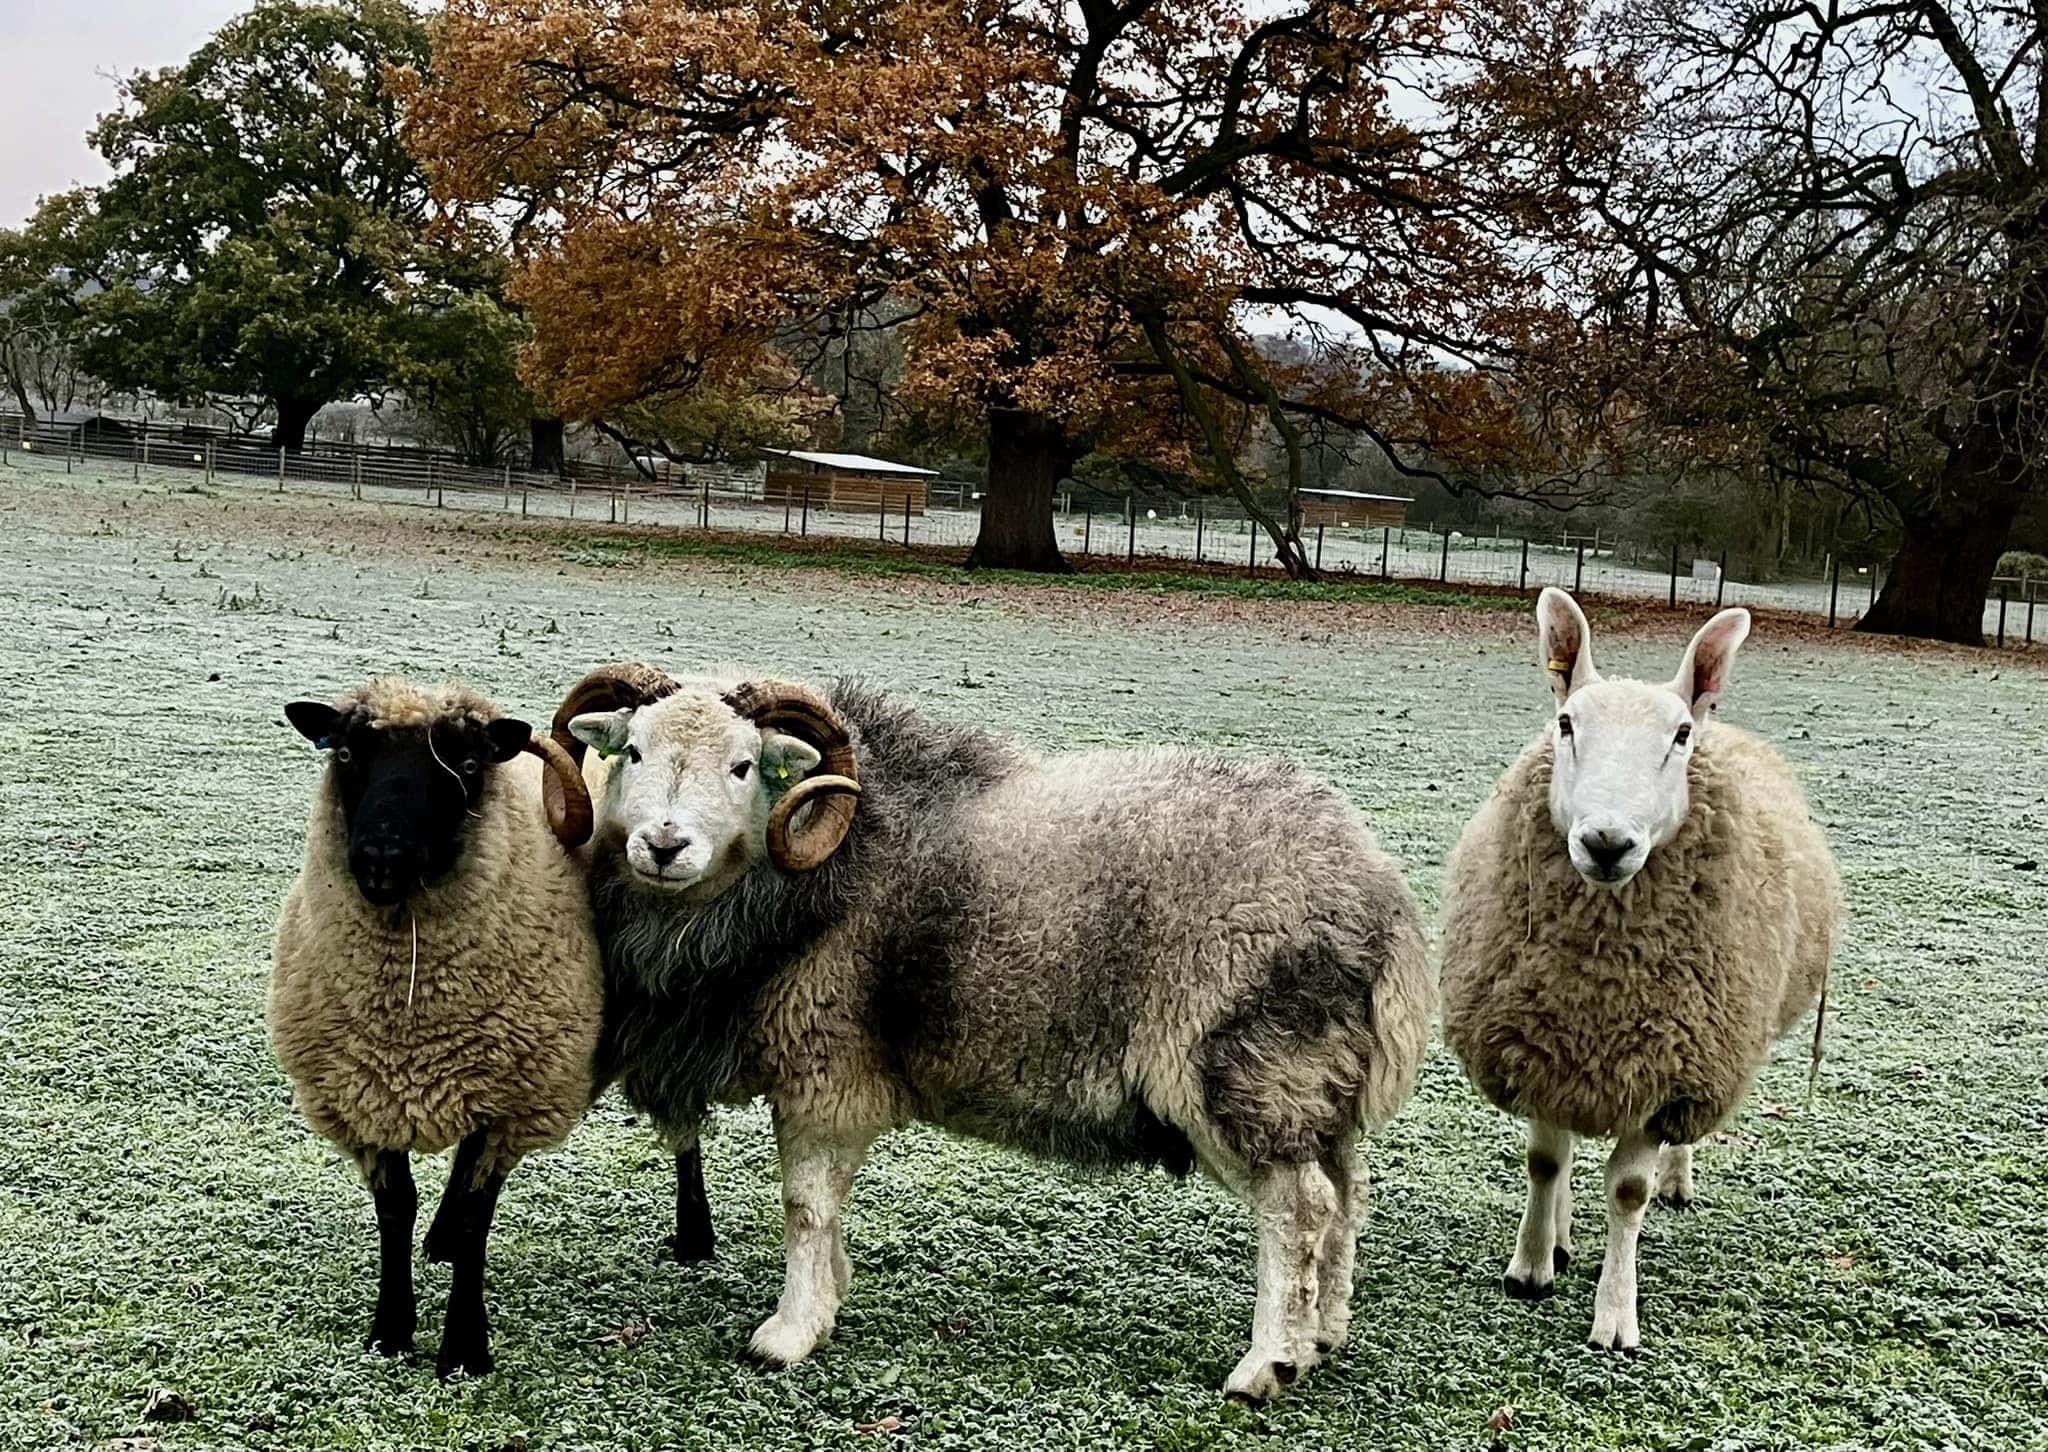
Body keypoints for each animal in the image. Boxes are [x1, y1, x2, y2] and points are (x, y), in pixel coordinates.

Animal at [268, 675, 598, 1368]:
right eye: (346, 754)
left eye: (468, 766)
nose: (382, 858)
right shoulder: (365, 1095)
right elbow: (396, 1210)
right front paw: (391, 1330)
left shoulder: (507, 1103)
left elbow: (477, 1215)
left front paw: (465, 1345)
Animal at [552, 663, 1433, 1400]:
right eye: (633, 751)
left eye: (742, 767)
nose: (664, 845)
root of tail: (1377, 888)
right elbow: (827, 1210)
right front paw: (832, 1298)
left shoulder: (826, 1069)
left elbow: (805, 1207)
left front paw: (789, 1332)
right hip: (1314, 1073)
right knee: (1346, 1197)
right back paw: (1324, 1338)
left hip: (1243, 1067)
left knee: (1299, 1210)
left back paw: (1266, 1366)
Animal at [1441, 585, 1843, 1351]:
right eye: (1565, 723)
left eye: (1679, 736)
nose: (1606, 842)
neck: (1600, 983)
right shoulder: (1543, 1045)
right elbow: (1545, 1162)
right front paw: (1532, 1265)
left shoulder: (1670, 1066)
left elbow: (1630, 1191)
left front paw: (1614, 1315)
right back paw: (1564, 1232)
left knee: (1676, 1150)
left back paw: (1675, 1182)